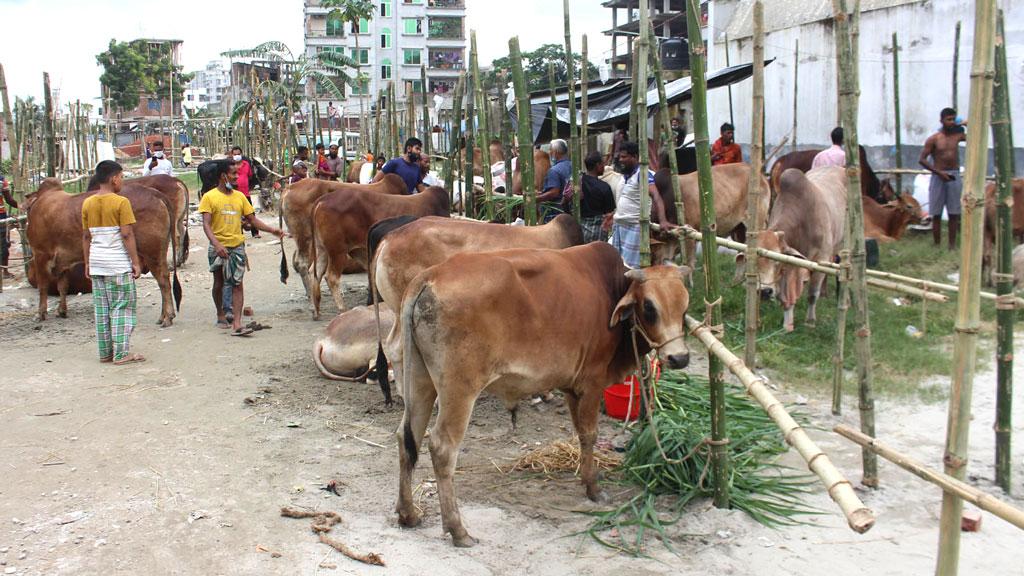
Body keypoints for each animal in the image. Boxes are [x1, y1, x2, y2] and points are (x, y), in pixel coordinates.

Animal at [25, 177, 182, 325]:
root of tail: (154, 193)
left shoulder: (40, 254)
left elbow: (43, 287)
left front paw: (40, 314)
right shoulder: (63, 261)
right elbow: (62, 287)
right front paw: (61, 311)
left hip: (152, 253)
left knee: (163, 281)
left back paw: (168, 317)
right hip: (159, 251)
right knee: (164, 279)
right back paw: (163, 316)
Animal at [305, 184, 446, 315]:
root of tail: (322, 200)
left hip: (322, 249)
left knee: (313, 272)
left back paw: (315, 308)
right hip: (338, 251)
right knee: (331, 277)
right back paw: (342, 308)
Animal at [395, 240, 692, 541]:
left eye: (684, 308)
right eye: (649, 307)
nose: (679, 358)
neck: (612, 287)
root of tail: (429, 276)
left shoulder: (573, 387)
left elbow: (581, 435)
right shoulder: (592, 382)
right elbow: (590, 435)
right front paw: (594, 489)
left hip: (420, 382)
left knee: (407, 438)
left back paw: (408, 514)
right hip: (459, 390)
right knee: (442, 448)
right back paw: (458, 530)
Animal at [749, 163, 843, 330]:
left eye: (776, 260)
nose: (765, 292)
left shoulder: (822, 258)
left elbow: (812, 294)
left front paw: (810, 321)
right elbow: (785, 295)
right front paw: (787, 324)